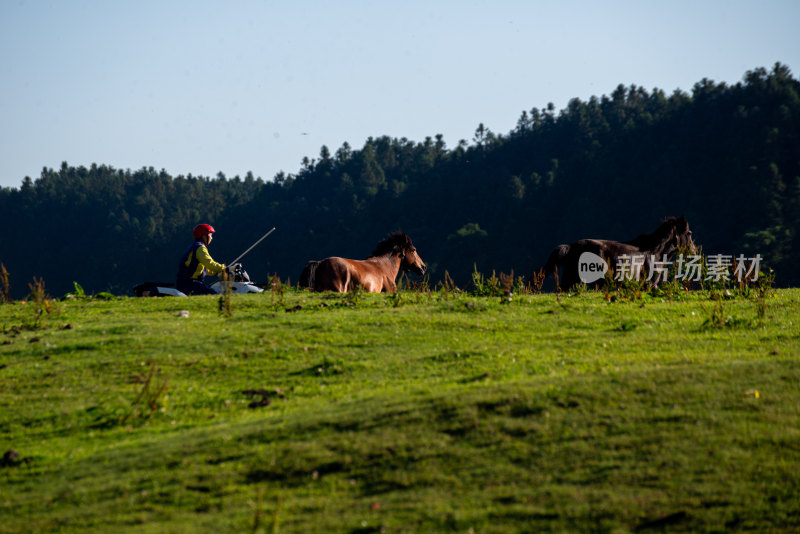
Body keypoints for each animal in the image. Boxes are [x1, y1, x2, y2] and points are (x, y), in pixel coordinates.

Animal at [540, 218, 696, 292]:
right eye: (689, 233)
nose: (694, 252)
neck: (656, 253)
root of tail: (571, 246)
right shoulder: (649, 284)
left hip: (571, 277)